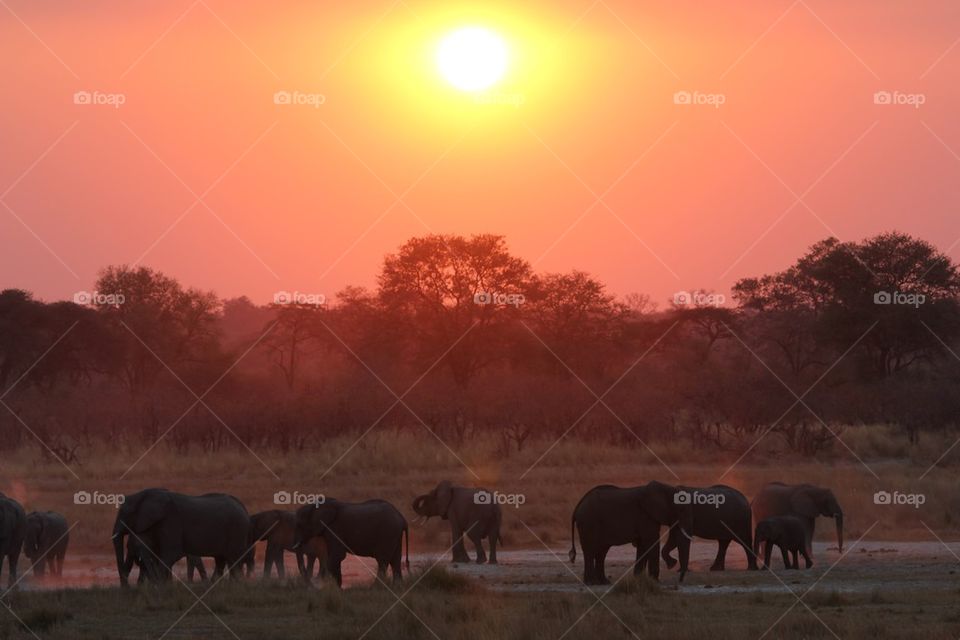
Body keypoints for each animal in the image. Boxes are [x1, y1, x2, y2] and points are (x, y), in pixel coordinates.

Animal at [112, 488, 250, 587]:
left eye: (124, 514)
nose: (126, 588)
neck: (145, 495)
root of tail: (243, 507)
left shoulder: (171, 521)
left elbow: (171, 554)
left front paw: (159, 586)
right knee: (220, 560)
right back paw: (214, 585)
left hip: (237, 531)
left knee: (233, 561)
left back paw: (234, 585)